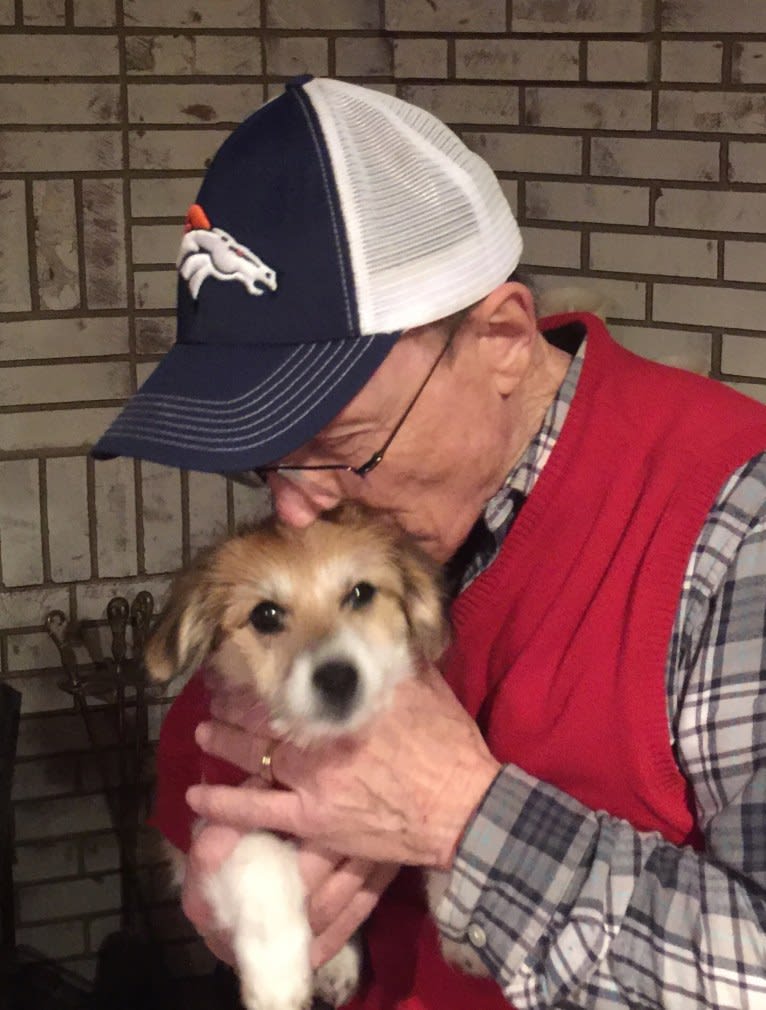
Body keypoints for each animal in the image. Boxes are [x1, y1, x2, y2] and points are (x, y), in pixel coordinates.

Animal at [145, 502, 474, 1010]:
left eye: (360, 593)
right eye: (266, 615)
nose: (338, 678)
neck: (319, 744)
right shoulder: (217, 818)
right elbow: (263, 865)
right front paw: (277, 981)